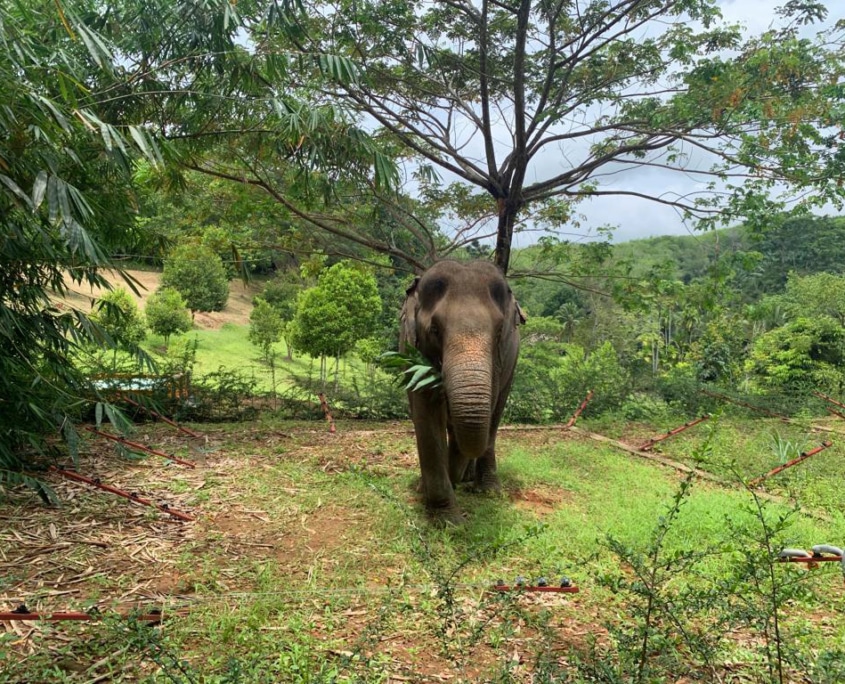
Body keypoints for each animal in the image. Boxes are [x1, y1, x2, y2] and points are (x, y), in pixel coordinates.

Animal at [400, 260, 524, 524]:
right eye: (435, 330)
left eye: (500, 331)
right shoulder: (411, 347)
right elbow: (426, 412)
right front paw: (449, 520)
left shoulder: (501, 361)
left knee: (495, 416)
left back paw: (485, 488)